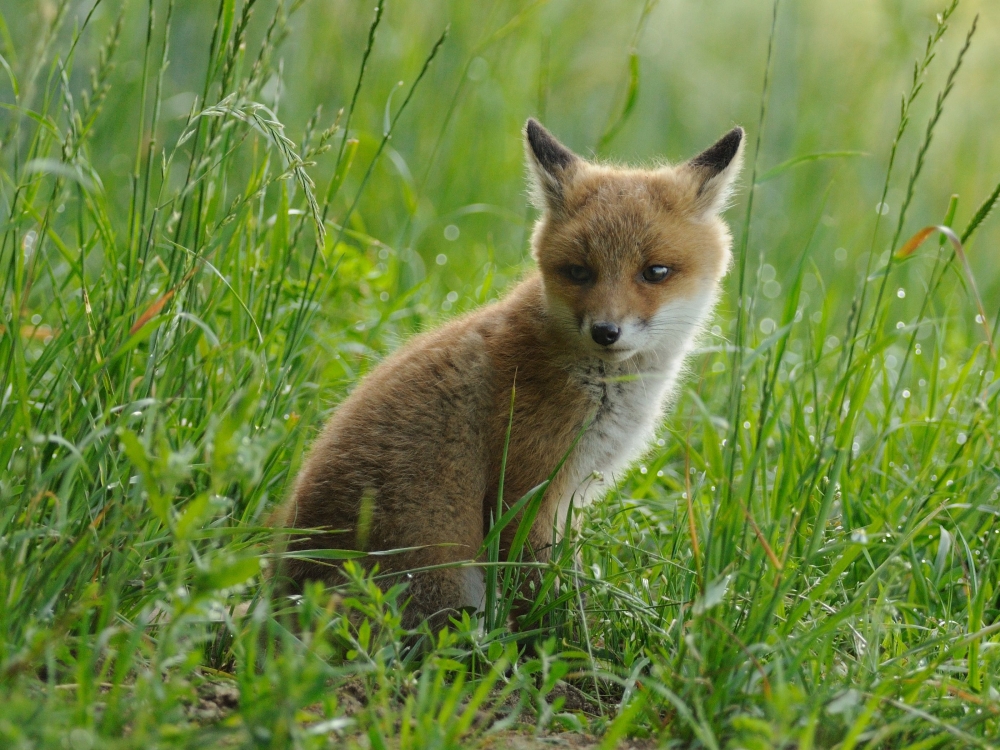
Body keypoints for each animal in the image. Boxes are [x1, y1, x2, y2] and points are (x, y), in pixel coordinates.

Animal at [274, 119, 744, 628]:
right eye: (579, 272)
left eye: (655, 272)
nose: (605, 331)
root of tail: (281, 592)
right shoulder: (525, 492)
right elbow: (544, 594)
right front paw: (571, 639)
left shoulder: (567, 497)